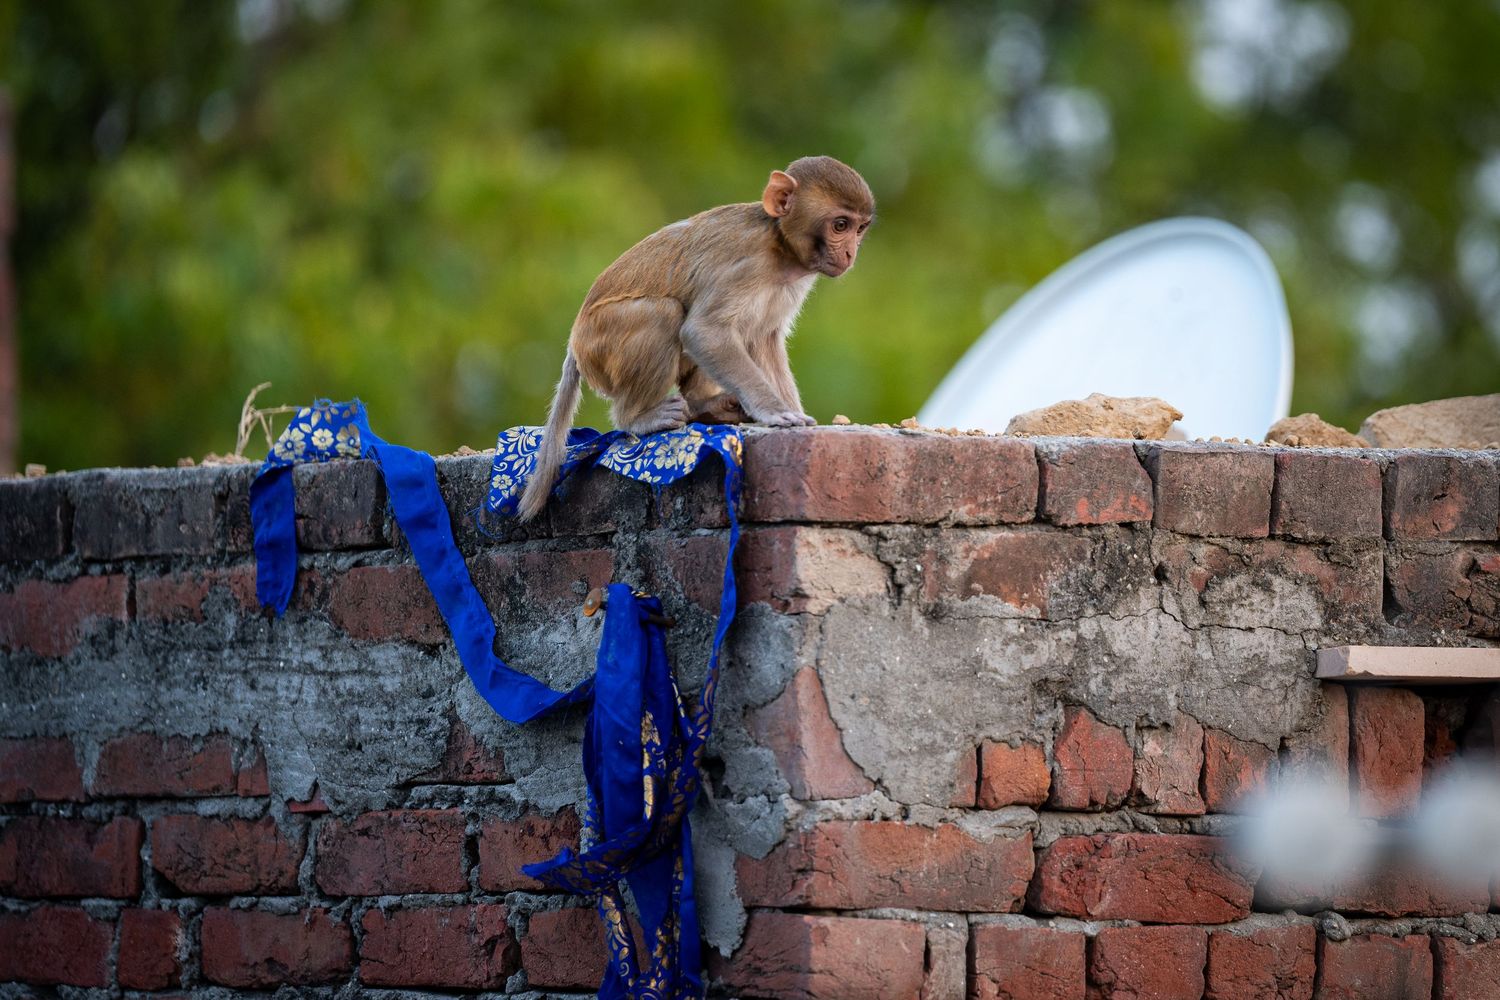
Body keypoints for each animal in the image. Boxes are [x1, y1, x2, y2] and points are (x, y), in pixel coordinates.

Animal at [517, 155, 874, 521]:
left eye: (859, 228)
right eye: (840, 225)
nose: (851, 253)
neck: (780, 248)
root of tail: (575, 343)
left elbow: (764, 339)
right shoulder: (745, 266)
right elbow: (703, 331)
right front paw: (775, 412)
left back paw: (708, 406)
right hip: (598, 346)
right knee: (666, 313)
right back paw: (638, 417)